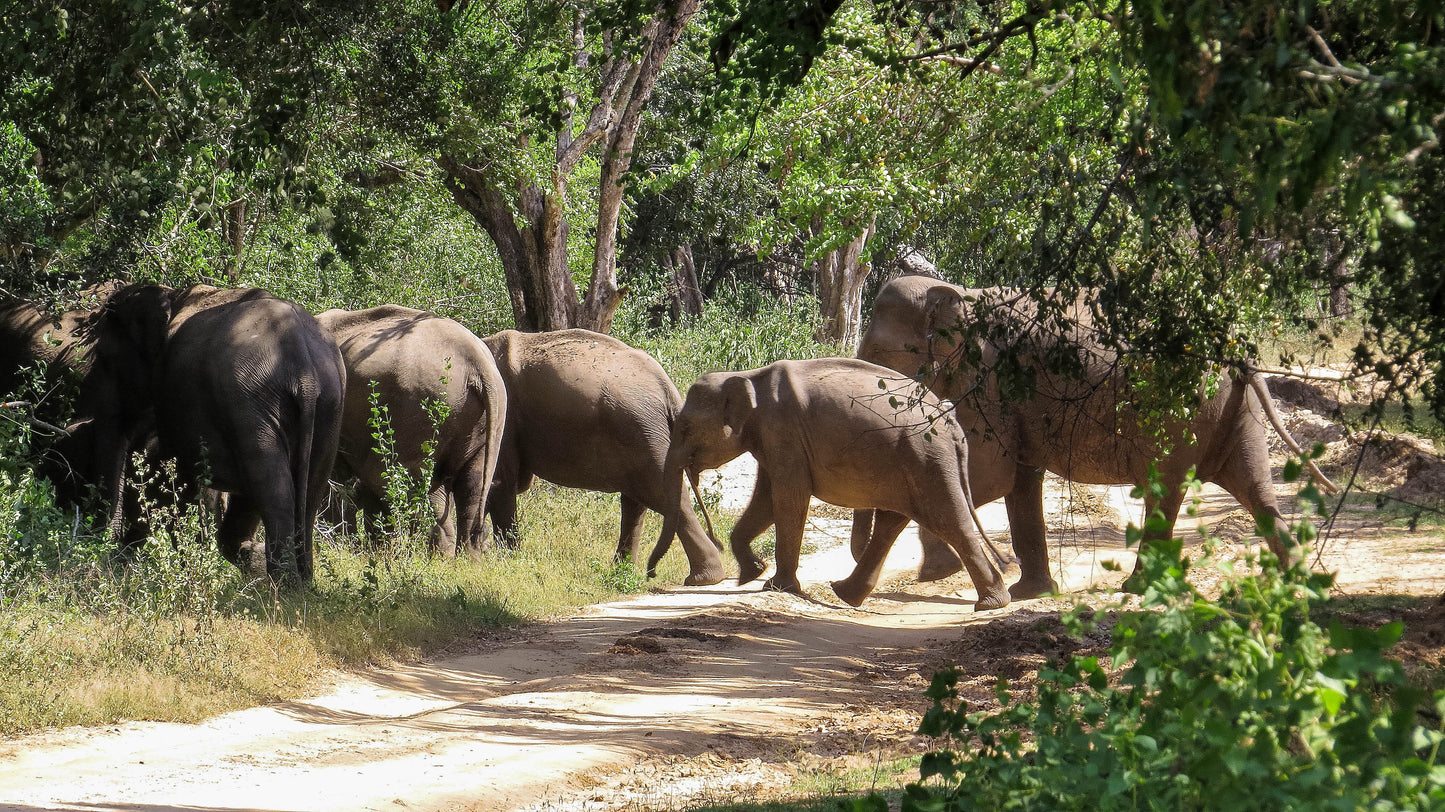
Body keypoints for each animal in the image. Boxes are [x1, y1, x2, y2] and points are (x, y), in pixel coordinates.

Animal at [72, 283, 345, 583]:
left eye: (104, 359)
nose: (111, 552)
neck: (173, 294)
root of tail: (305, 372)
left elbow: (178, 471)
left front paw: (189, 562)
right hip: (328, 406)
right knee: (308, 491)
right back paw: (301, 582)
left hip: (250, 403)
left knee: (273, 490)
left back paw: (283, 584)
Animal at [315, 306, 506, 555]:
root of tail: (477, 362)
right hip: (487, 423)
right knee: (470, 488)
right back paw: (466, 557)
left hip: (418, 412)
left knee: (416, 486)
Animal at [482, 329, 726, 587]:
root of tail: (667, 387)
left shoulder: (503, 419)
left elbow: (499, 483)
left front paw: (505, 560)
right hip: (642, 437)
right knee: (637, 501)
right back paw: (622, 572)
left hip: (640, 433)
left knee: (662, 495)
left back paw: (703, 579)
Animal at [659, 357, 1010, 610]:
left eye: (685, 426)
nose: (716, 541)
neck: (747, 376)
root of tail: (953, 424)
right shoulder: (772, 439)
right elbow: (766, 499)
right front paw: (753, 573)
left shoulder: (783, 431)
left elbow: (788, 498)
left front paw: (775, 586)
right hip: (912, 463)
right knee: (892, 523)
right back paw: (844, 593)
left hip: (927, 460)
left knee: (948, 520)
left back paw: (991, 604)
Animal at [853, 274, 1335, 599]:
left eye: (877, 355)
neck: (958, 292)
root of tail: (1236, 347)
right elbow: (1018, 482)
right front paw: (1031, 594)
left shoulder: (988, 383)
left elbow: (991, 475)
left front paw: (934, 573)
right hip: (1237, 409)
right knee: (1254, 485)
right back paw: (1298, 580)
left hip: (1179, 407)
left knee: (1166, 486)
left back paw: (1137, 589)